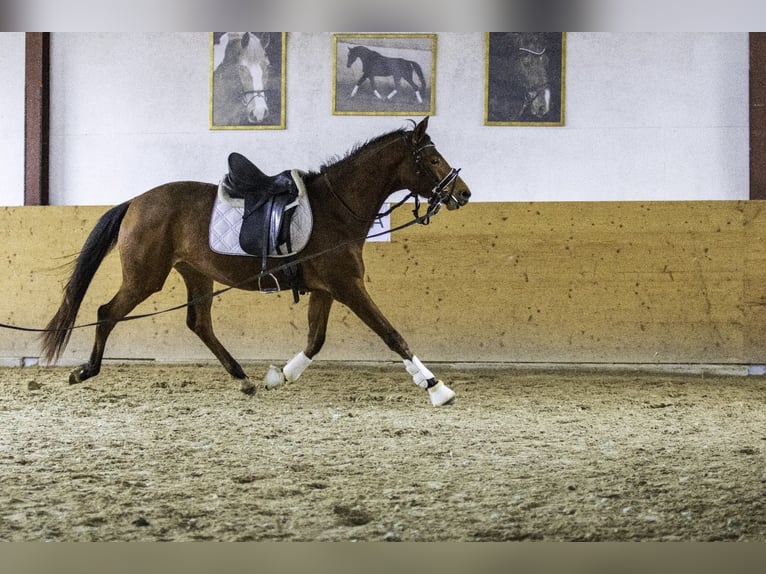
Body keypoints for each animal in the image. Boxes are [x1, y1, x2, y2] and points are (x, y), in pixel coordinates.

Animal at [43, 117, 474, 408]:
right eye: (433, 158)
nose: (464, 193)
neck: (337, 209)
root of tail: (135, 201)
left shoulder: (327, 289)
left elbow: (315, 339)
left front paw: (280, 376)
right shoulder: (348, 286)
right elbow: (391, 334)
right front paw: (437, 388)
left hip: (196, 274)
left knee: (199, 324)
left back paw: (243, 379)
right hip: (145, 277)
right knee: (106, 313)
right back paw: (85, 371)